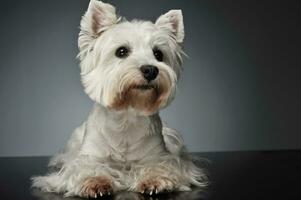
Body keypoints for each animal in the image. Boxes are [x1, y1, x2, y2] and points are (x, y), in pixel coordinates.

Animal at [31, 0, 207, 197]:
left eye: (158, 54)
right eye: (121, 51)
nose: (150, 70)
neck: (126, 117)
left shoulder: (158, 156)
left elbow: (158, 167)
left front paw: (155, 180)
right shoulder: (88, 158)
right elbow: (86, 169)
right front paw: (95, 182)